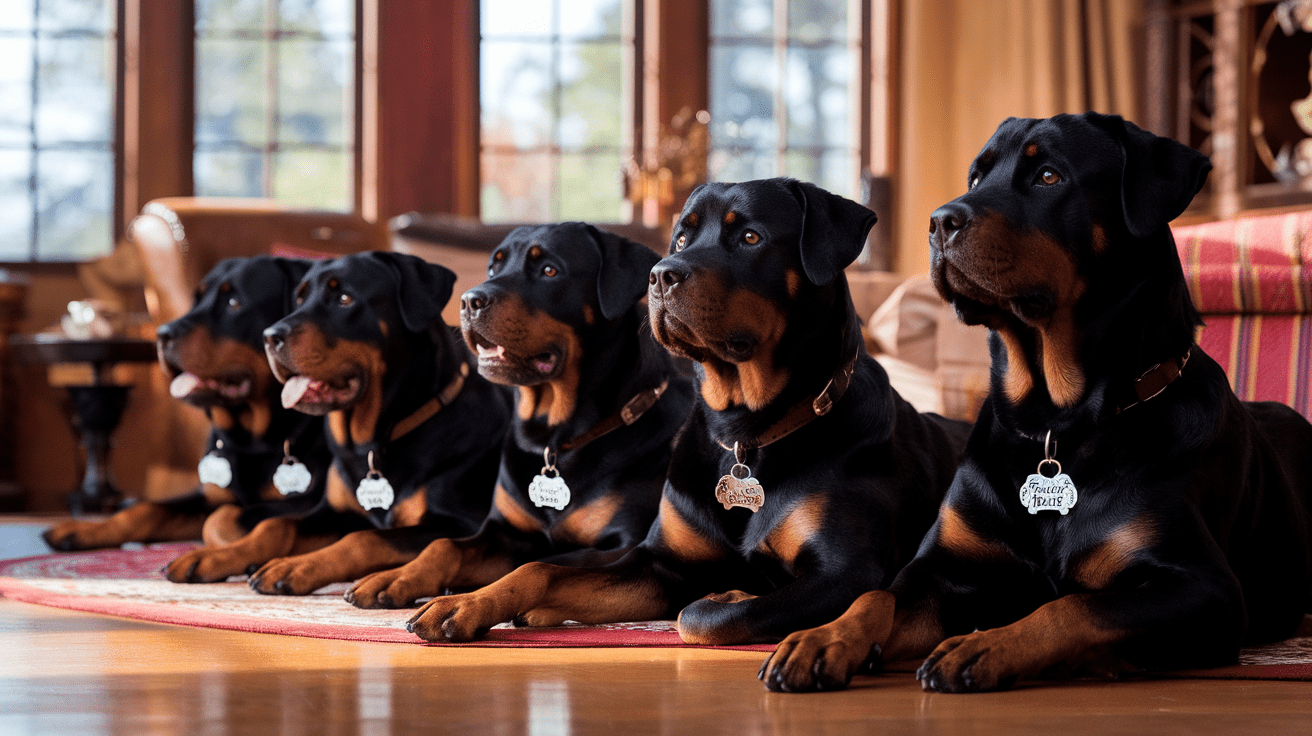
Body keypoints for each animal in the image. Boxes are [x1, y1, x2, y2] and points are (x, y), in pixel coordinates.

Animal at [43, 257, 330, 551]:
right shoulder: (211, 495)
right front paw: (86, 528)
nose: (162, 334)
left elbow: (223, 517)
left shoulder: (309, 500)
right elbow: (147, 509)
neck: (253, 441)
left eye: (233, 302)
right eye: (196, 300)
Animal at [164, 249, 511, 587]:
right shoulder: (332, 512)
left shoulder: (460, 522)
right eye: (300, 299)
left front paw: (294, 567)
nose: (271, 336)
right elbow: (277, 525)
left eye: (345, 298)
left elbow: (365, 537)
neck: (372, 441)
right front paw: (217, 556)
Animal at [346, 223, 697, 608]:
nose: (470, 300)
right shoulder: (503, 531)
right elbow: (444, 546)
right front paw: (396, 577)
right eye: (493, 268)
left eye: (549, 270)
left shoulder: (624, 543)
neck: (554, 438)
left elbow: (537, 563)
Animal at [404, 178, 970, 642]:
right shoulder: (659, 563)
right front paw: (463, 605)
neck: (743, 431)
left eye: (750, 237)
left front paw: (730, 593)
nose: (661, 275)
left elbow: (703, 617)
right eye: (680, 239)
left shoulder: (845, 573)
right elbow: (537, 569)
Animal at [760, 112, 1312, 692]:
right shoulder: (943, 567)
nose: (939, 221)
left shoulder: (1206, 589)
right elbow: (877, 594)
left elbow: (1073, 606)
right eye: (977, 177)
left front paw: (985, 645)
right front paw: (822, 638)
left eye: (1048, 175)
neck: (1055, 421)